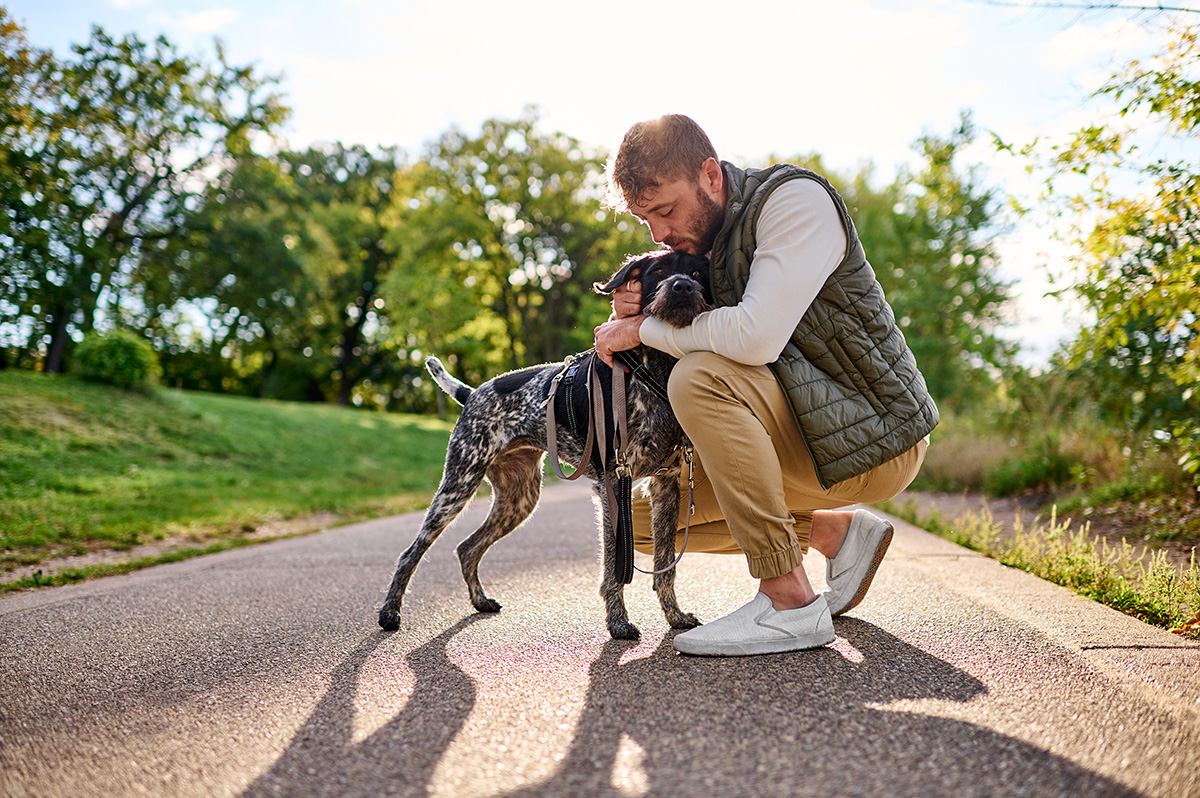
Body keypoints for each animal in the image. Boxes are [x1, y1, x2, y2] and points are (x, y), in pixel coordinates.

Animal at [379, 252, 705, 638]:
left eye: (697, 270)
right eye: (658, 271)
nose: (682, 286)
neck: (651, 370)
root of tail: (472, 394)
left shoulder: (665, 485)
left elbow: (666, 566)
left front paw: (675, 617)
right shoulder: (613, 484)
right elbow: (614, 569)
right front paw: (618, 622)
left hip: (519, 498)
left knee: (466, 548)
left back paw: (480, 600)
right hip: (457, 486)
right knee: (411, 552)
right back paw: (390, 612)